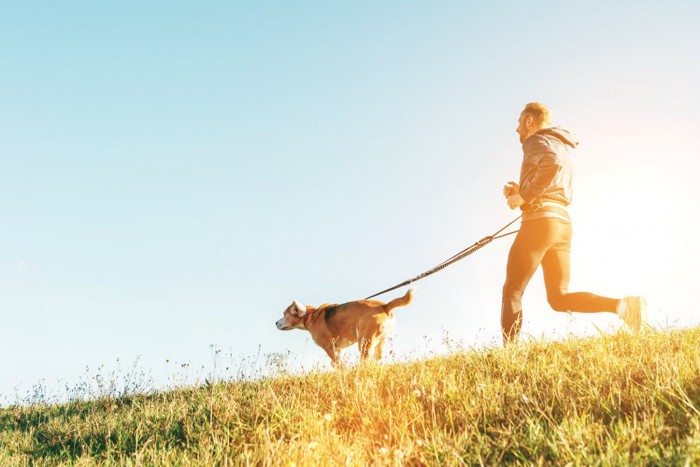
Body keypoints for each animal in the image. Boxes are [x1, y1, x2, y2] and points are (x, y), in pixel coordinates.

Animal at [274, 288, 416, 366]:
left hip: (364, 342)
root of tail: (384, 306)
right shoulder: (339, 349)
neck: (311, 315)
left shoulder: (330, 348)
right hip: (380, 341)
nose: (275, 323)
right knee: (378, 358)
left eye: (284, 314)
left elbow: (337, 363)